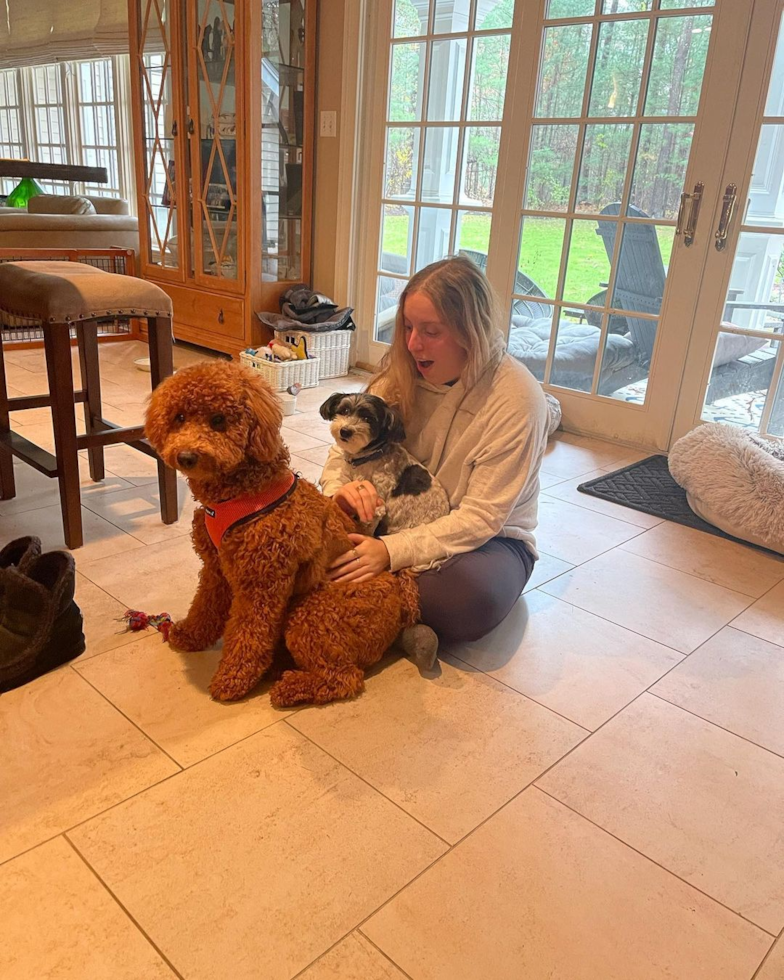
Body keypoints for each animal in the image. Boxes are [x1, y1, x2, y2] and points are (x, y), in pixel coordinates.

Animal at [145, 360, 420, 704]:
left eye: (218, 420)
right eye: (179, 417)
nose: (186, 456)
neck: (242, 492)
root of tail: (402, 596)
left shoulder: (262, 583)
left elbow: (249, 634)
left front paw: (233, 678)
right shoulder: (215, 569)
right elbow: (205, 607)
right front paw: (190, 635)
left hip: (311, 612)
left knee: (344, 677)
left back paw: (290, 686)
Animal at [318, 390, 450, 536]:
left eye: (368, 419)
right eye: (345, 410)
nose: (345, 431)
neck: (371, 456)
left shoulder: (376, 506)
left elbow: (366, 529)